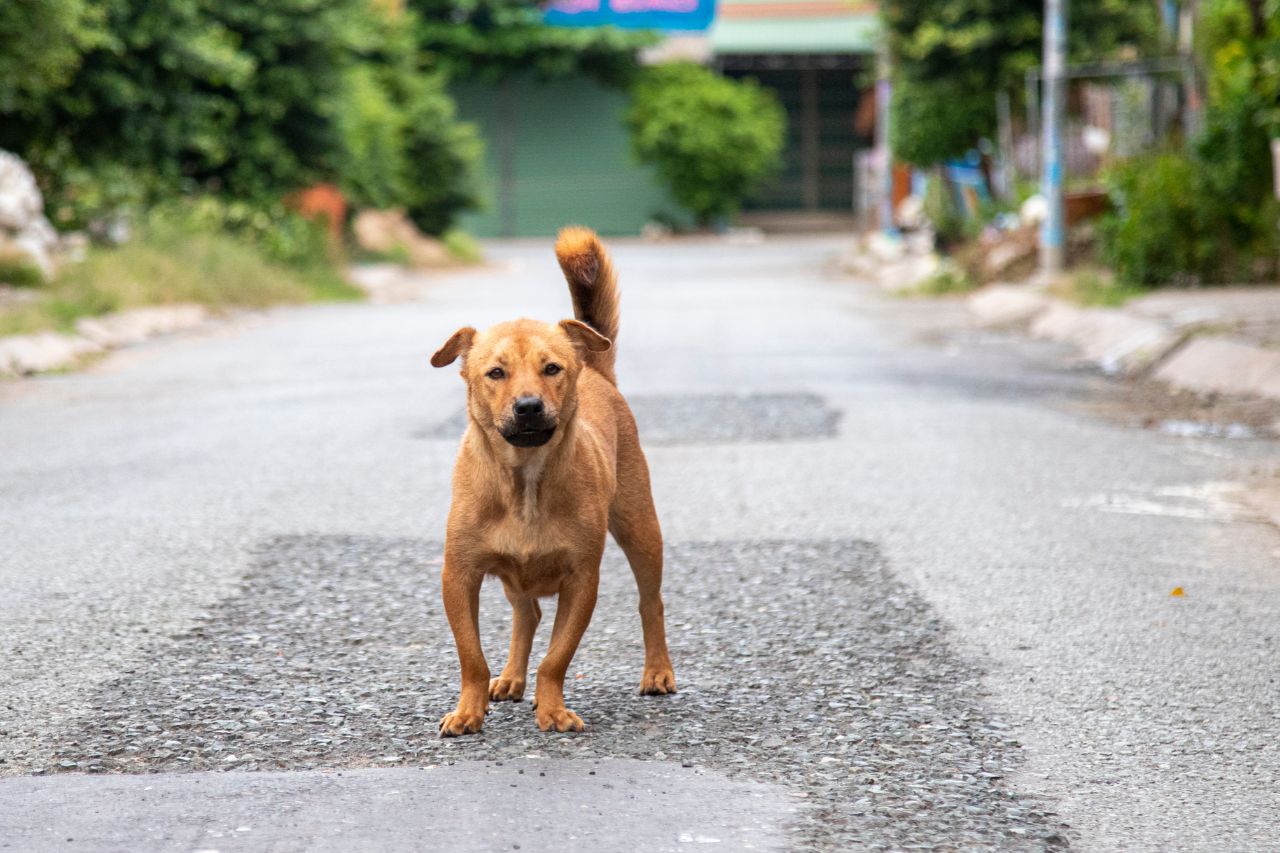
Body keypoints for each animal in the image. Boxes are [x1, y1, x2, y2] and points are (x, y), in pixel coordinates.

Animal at [430, 229, 675, 732]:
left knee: (651, 602)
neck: (525, 480)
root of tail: (598, 371)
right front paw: (469, 710)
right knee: (528, 613)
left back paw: (658, 671)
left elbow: (557, 658)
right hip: (514, 578)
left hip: (641, 530)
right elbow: (471, 657)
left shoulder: (582, 580)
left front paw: (553, 708)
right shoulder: (458, 575)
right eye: (496, 372)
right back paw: (509, 677)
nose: (528, 407)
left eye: (552, 369)